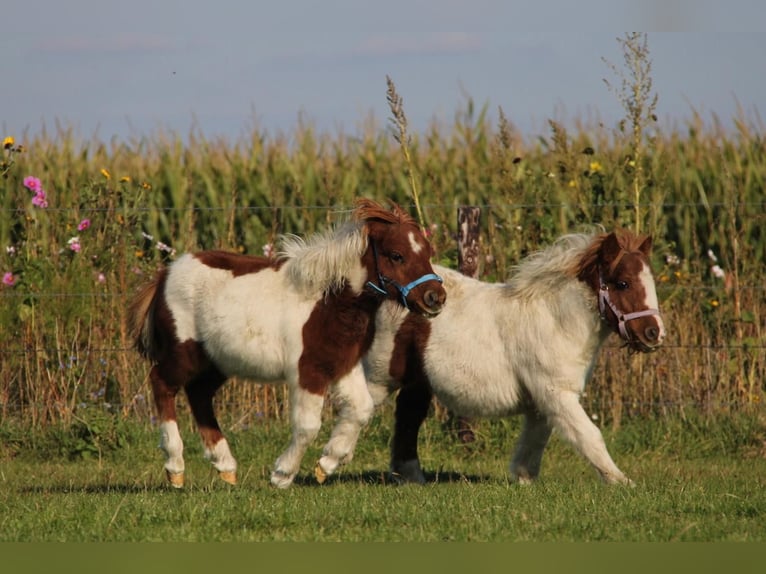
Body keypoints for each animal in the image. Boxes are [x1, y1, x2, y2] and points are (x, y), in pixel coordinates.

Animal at [129, 199, 448, 490]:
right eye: (396, 255)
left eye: (427, 252)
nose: (435, 298)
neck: (330, 301)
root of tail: (163, 276)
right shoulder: (309, 370)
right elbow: (308, 425)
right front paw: (282, 474)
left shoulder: (343, 365)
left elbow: (361, 410)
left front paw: (327, 464)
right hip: (184, 353)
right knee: (162, 383)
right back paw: (175, 469)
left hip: (217, 362)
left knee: (199, 394)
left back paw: (225, 466)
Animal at [366, 230, 664, 486]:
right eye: (623, 283)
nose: (655, 334)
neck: (555, 321)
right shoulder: (556, 394)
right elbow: (590, 437)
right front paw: (622, 482)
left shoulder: (542, 402)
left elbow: (534, 443)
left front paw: (524, 480)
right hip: (380, 377)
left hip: (417, 381)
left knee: (408, 417)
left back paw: (411, 479)